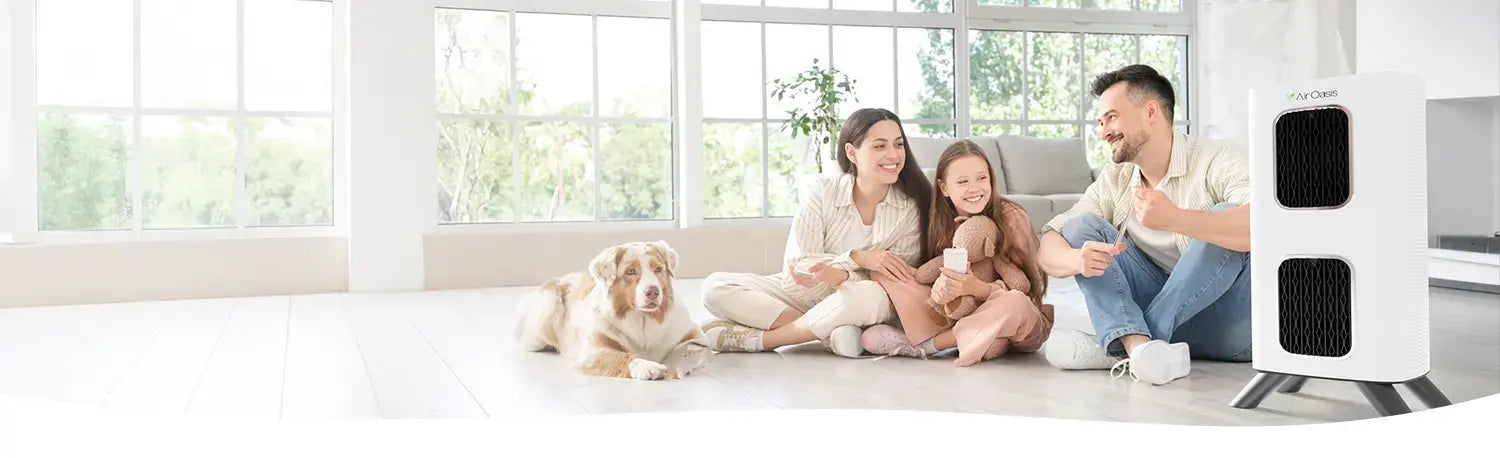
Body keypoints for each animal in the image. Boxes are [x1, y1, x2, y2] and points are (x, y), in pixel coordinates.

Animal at [516, 238, 708, 378]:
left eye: (658, 269)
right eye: (630, 271)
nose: (653, 292)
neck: (642, 319)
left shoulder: (694, 335)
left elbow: (686, 349)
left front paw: (673, 367)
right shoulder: (593, 351)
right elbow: (623, 356)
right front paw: (647, 366)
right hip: (546, 312)